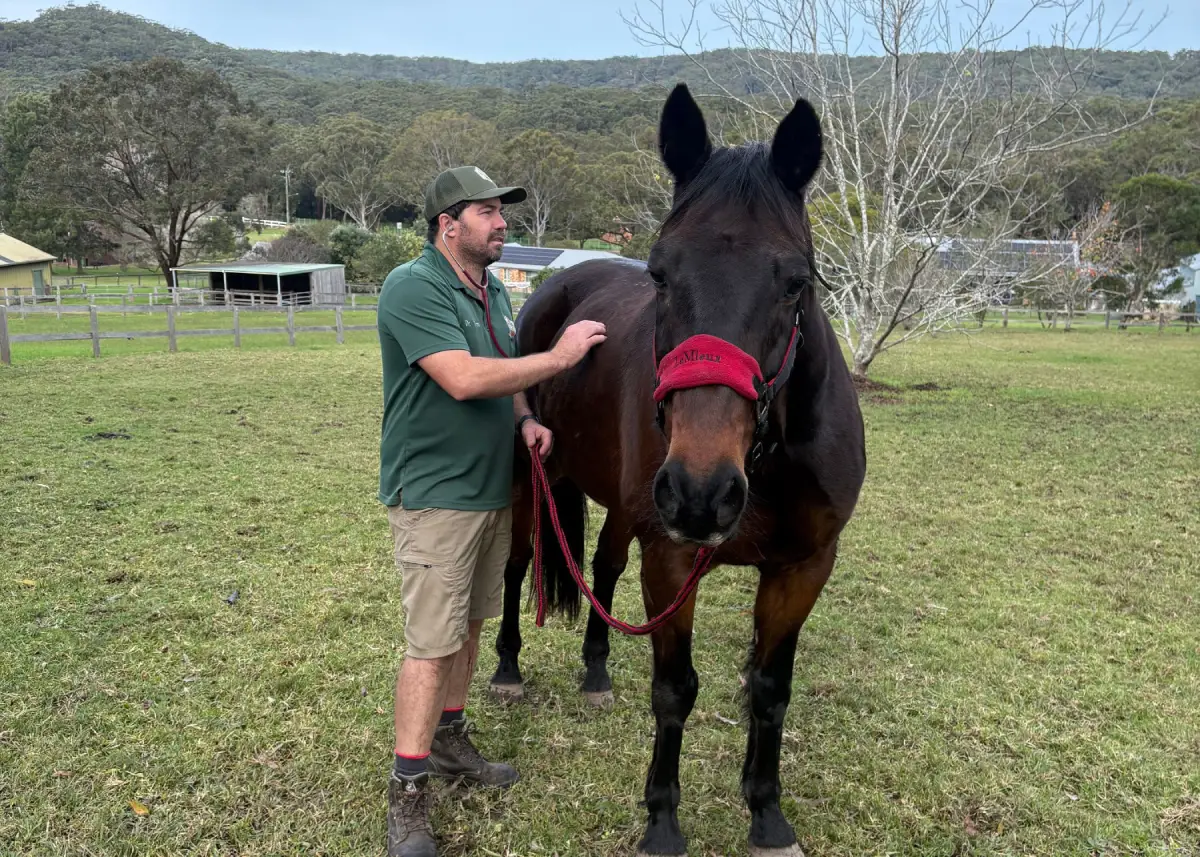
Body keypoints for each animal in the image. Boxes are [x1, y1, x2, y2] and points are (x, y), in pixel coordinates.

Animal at [489, 83, 867, 856]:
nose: (701, 491)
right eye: (661, 273)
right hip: (532, 477)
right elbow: (675, 689)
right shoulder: (669, 557)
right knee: (515, 567)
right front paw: (662, 820)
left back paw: (596, 669)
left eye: (796, 282)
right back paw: (507, 667)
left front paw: (767, 814)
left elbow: (770, 690)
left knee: (602, 567)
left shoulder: (803, 568)